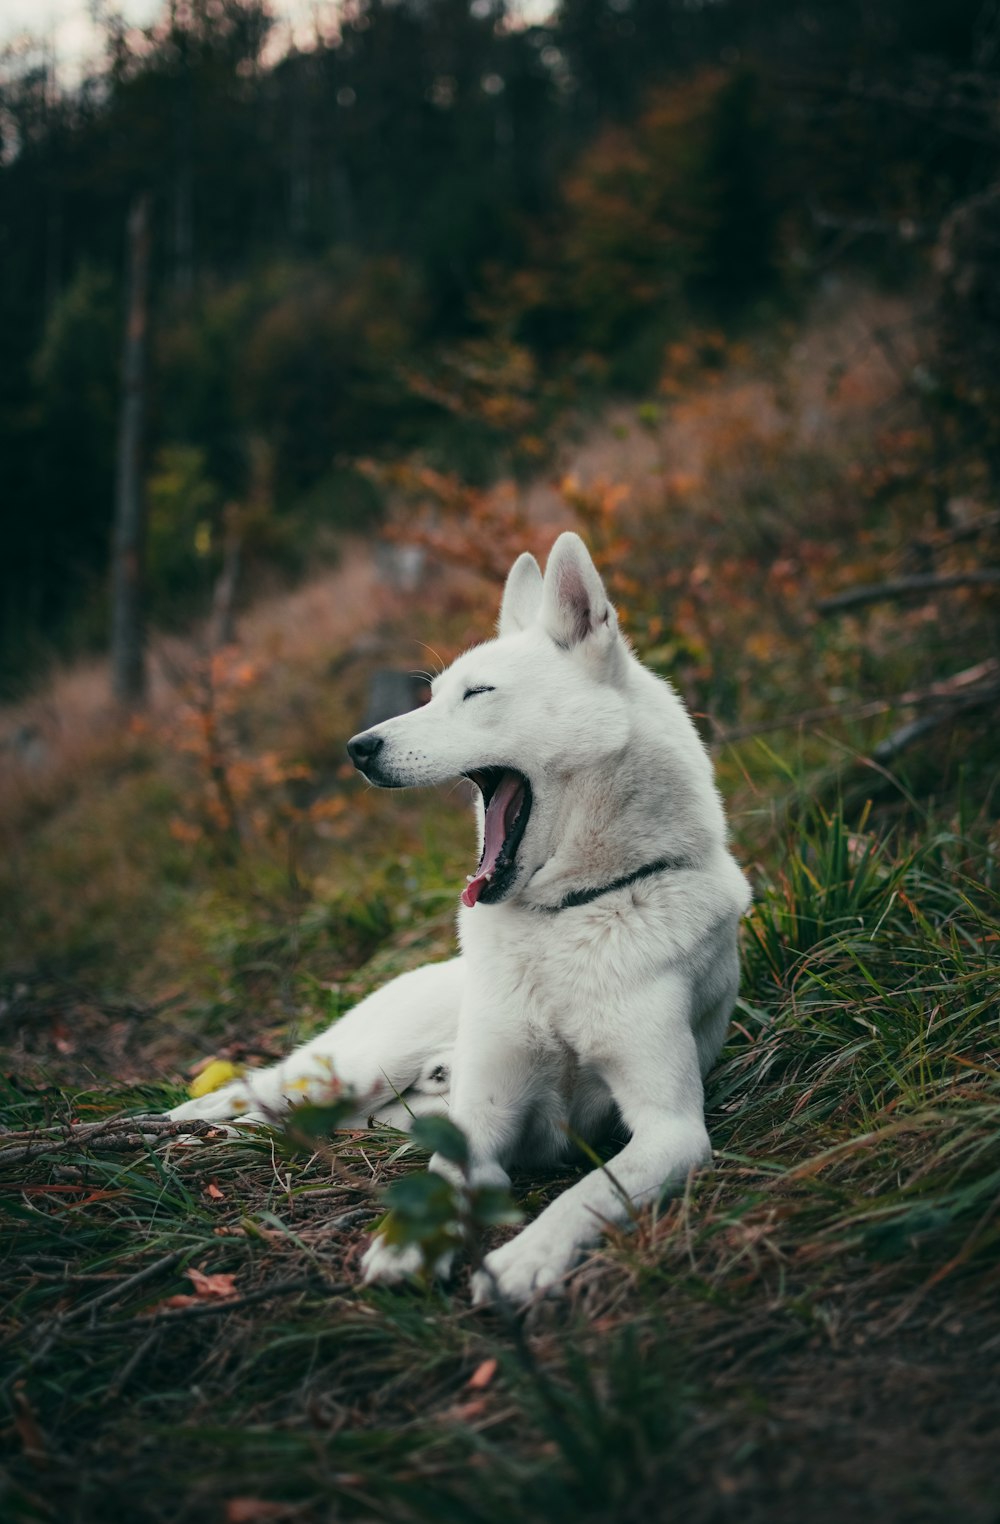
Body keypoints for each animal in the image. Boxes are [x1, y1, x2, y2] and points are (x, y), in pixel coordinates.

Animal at [167, 533, 750, 1298]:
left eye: (478, 694)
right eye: (435, 693)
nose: (357, 749)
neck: (565, 918)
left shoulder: (671, 1127)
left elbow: (592, 1190)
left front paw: (526, 1259)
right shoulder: (485, 1112)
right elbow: (445, 1180)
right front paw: (406, 1245)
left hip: (374, 1110)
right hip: (352, 1070)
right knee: (235, 1095)